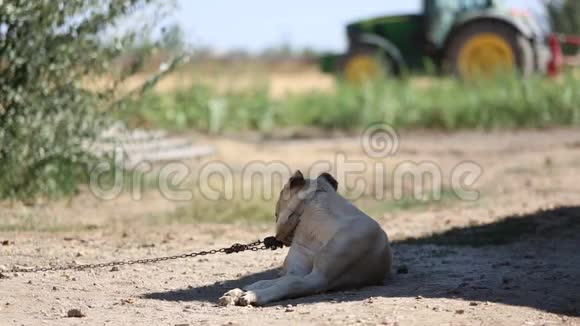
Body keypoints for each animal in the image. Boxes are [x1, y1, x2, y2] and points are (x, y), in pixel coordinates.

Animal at [220, 171, 392, 306]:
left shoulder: (318, 278)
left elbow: (289, 283)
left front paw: (256, 295)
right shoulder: (297, 271)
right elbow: (276, 281)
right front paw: (240, 291)